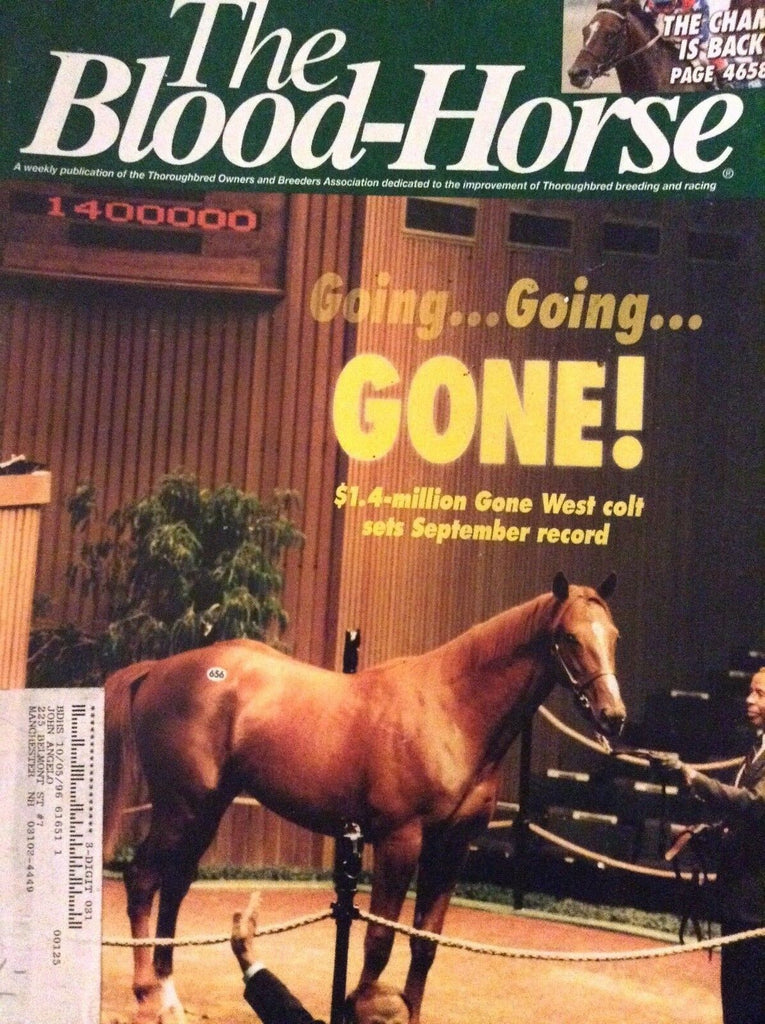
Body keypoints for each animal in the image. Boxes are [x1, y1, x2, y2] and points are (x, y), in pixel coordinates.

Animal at [103, 572, 627, 1024]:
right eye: (570, 637)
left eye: (614, 636)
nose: (614, 715)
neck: (452, 712)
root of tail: (158, 668)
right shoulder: (400, 843)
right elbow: (379, 940)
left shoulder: (451, 848)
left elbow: (424, 944)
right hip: (182, 807)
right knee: (143, 879)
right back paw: (150, 996)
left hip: (206, 809)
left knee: (174, 884)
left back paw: (170, 997)